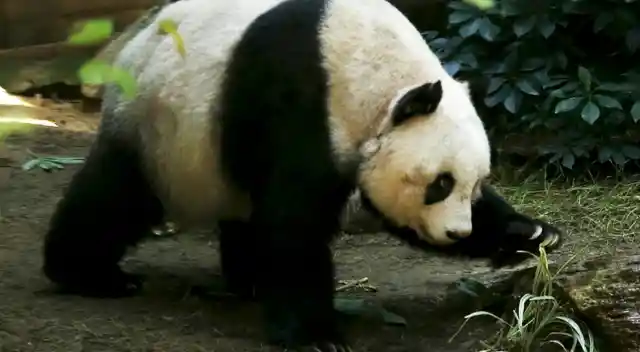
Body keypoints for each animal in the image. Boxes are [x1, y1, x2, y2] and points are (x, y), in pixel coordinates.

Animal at [43, 0, 564, 350]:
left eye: (473, 186)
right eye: (440, 183)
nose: (458, 232)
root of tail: (136, 38)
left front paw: (533, 233)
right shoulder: (301, 100)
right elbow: (295, 222)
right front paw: (315, 335)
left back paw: (249, 281)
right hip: (160, 130)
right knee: (117, 197)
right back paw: (89, 274)